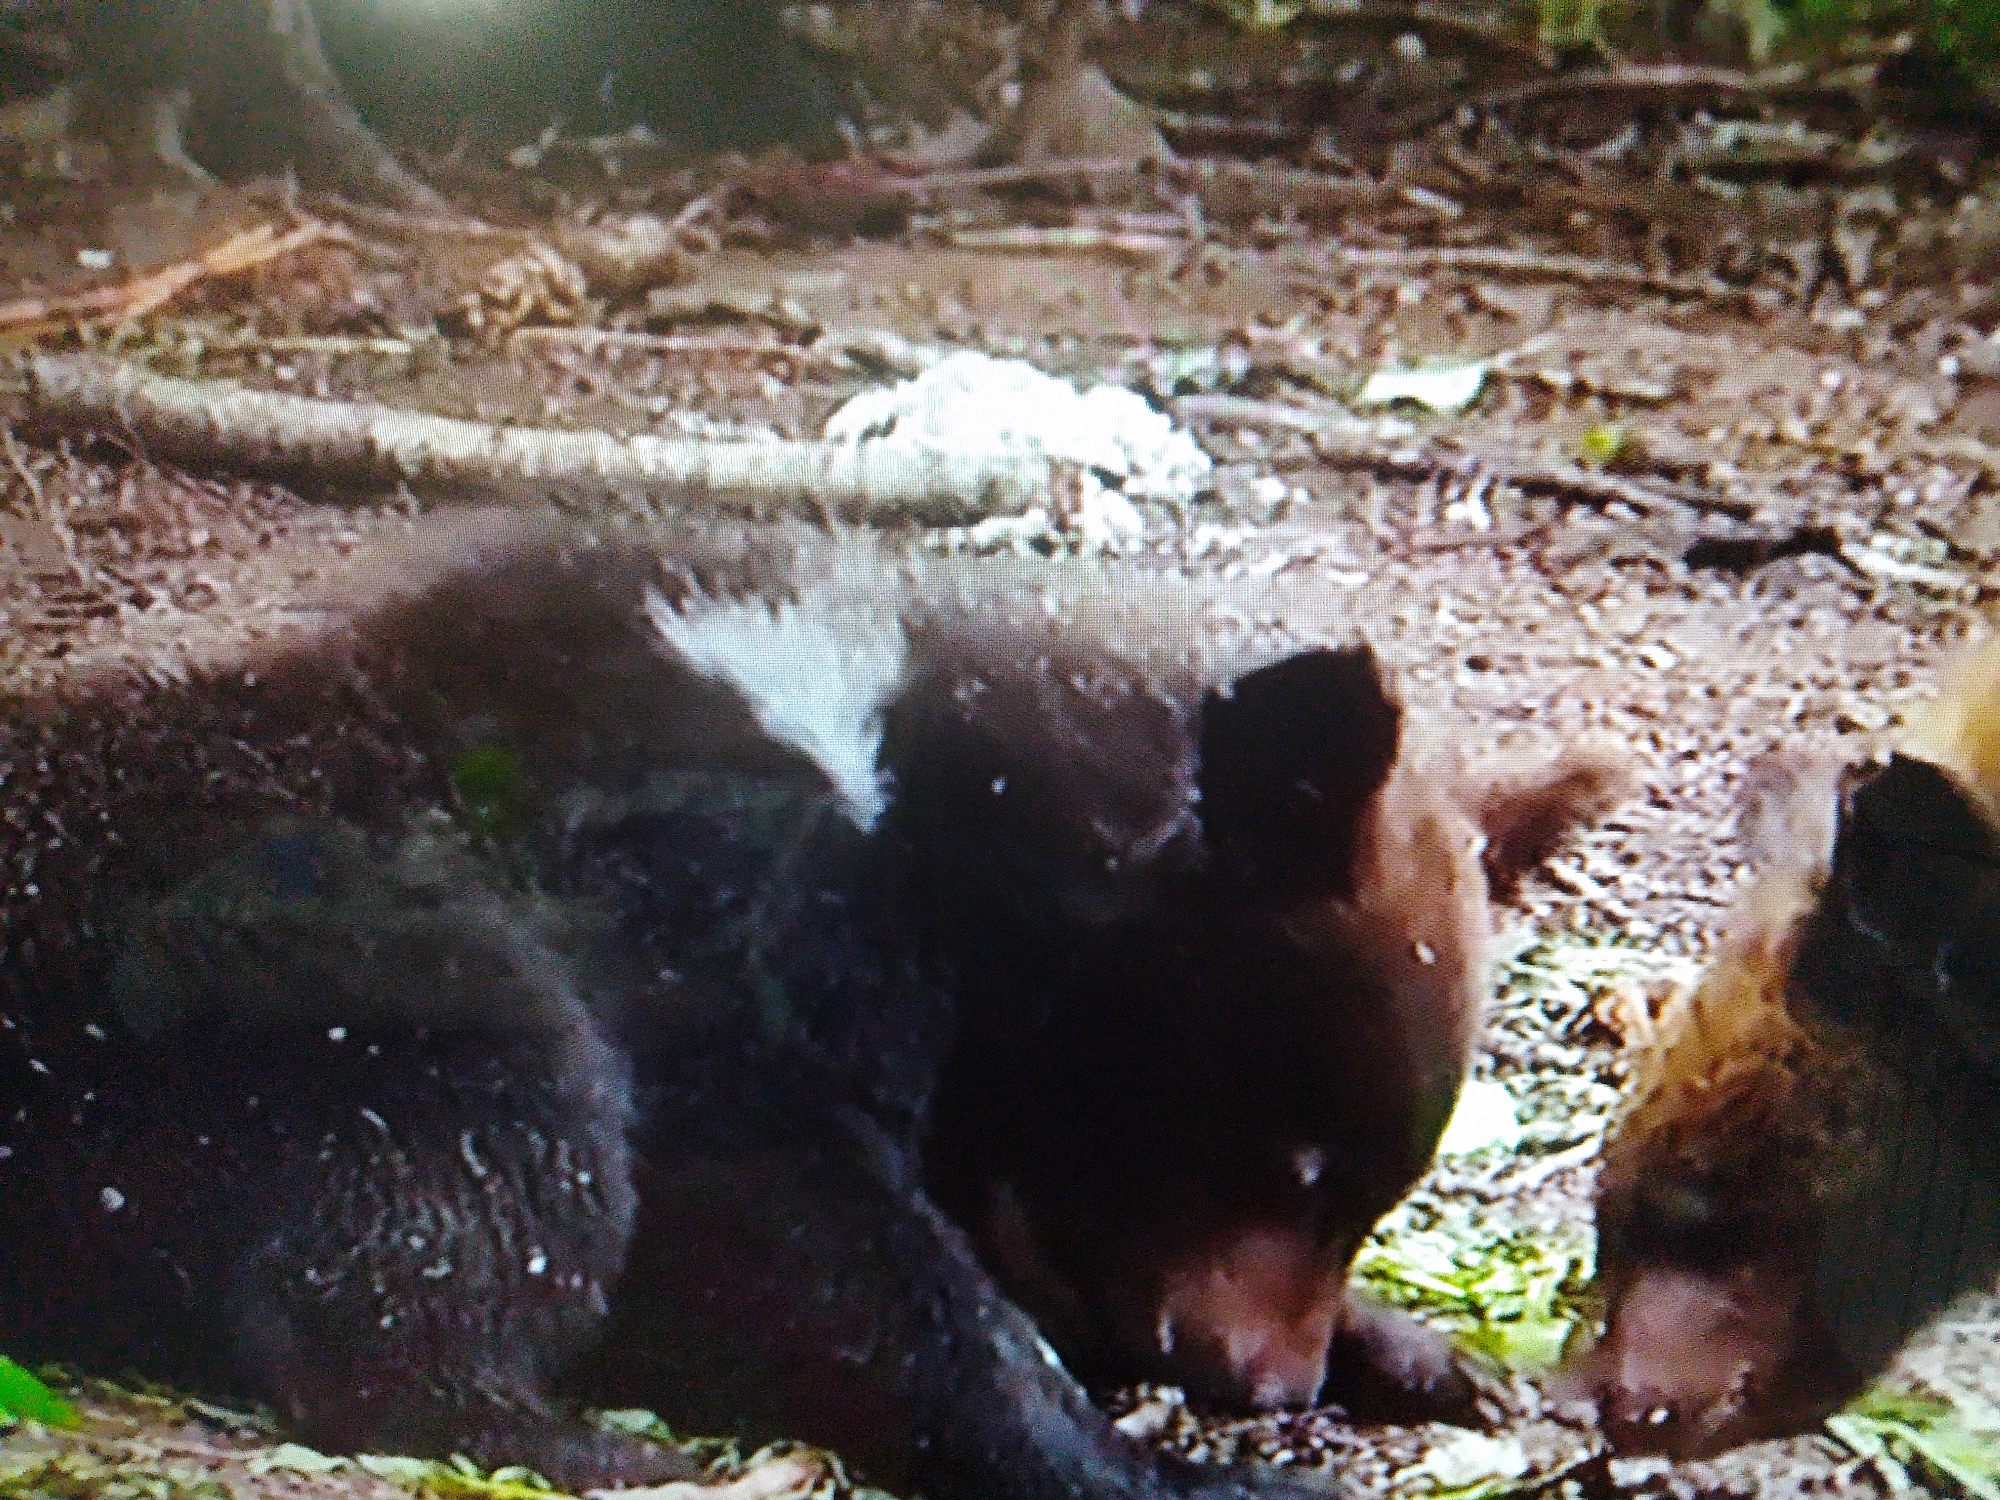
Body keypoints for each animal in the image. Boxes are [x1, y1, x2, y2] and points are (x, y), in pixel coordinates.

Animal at [1, 506, 1620, 1497]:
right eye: (1295, 1158)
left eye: (1370, 1190)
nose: (1268, 1382)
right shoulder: (712, 917)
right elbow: (804, 1232)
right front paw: (1150, 1458)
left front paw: (1437, 1359)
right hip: (287, 970)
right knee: (481, 1163)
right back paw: (585, 1438)